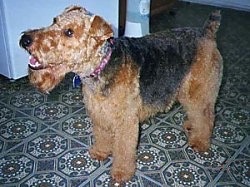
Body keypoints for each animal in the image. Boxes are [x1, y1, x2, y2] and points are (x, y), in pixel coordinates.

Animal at [19, 6, 223, 183]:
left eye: (69, 32)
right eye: (54, 20)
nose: (25, 40)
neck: (101, 64)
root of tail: (206, 32)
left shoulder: (126, 122)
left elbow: (124, 149)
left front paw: (121, 173)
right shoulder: (99, 113)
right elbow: (102, 136)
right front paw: (100, 153)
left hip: (199, 90)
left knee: (207, 115)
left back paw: (200, 141)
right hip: (187, 90)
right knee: (200, 113)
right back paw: (190, 126)